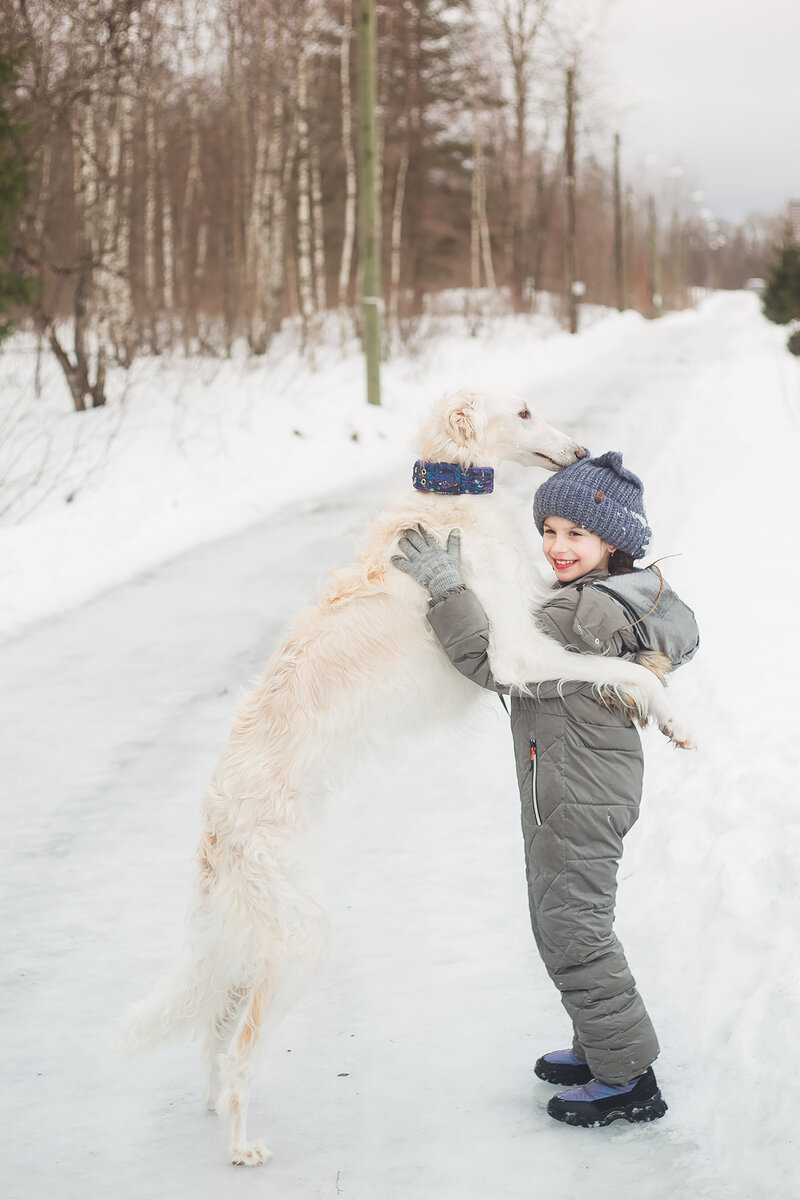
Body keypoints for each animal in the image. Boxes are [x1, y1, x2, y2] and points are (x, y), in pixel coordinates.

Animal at [117, 391, 690, 1161]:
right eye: (524, 411)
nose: (579, 453)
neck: (452, 502)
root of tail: (213, 822)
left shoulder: (538, 604)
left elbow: (615, 650)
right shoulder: (514, 650)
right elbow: (619, 670)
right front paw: (670, 712)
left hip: (253, 936)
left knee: (214, 1032)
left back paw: (217, 1111)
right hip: (300, 938)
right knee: (239, 1050)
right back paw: (243, 1146)